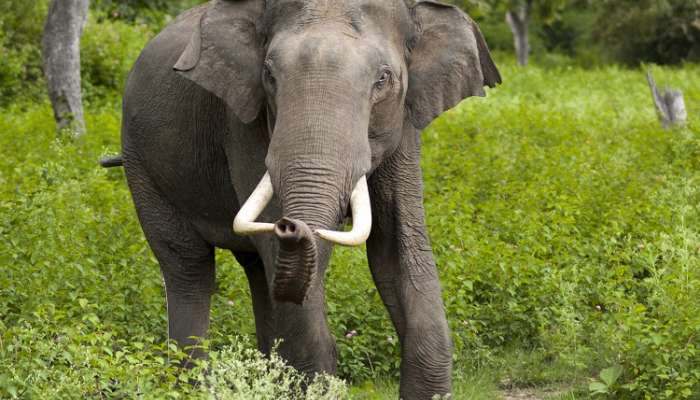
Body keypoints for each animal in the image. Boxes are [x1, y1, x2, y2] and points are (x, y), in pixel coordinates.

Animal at [108, 0, 498, 396]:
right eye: (268, 75)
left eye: (383, 79)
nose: (289, 226)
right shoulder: (244, 123)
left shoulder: (404, 125)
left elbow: (397, 251)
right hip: (141, 163)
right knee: (189, 267)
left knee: (257, 271)